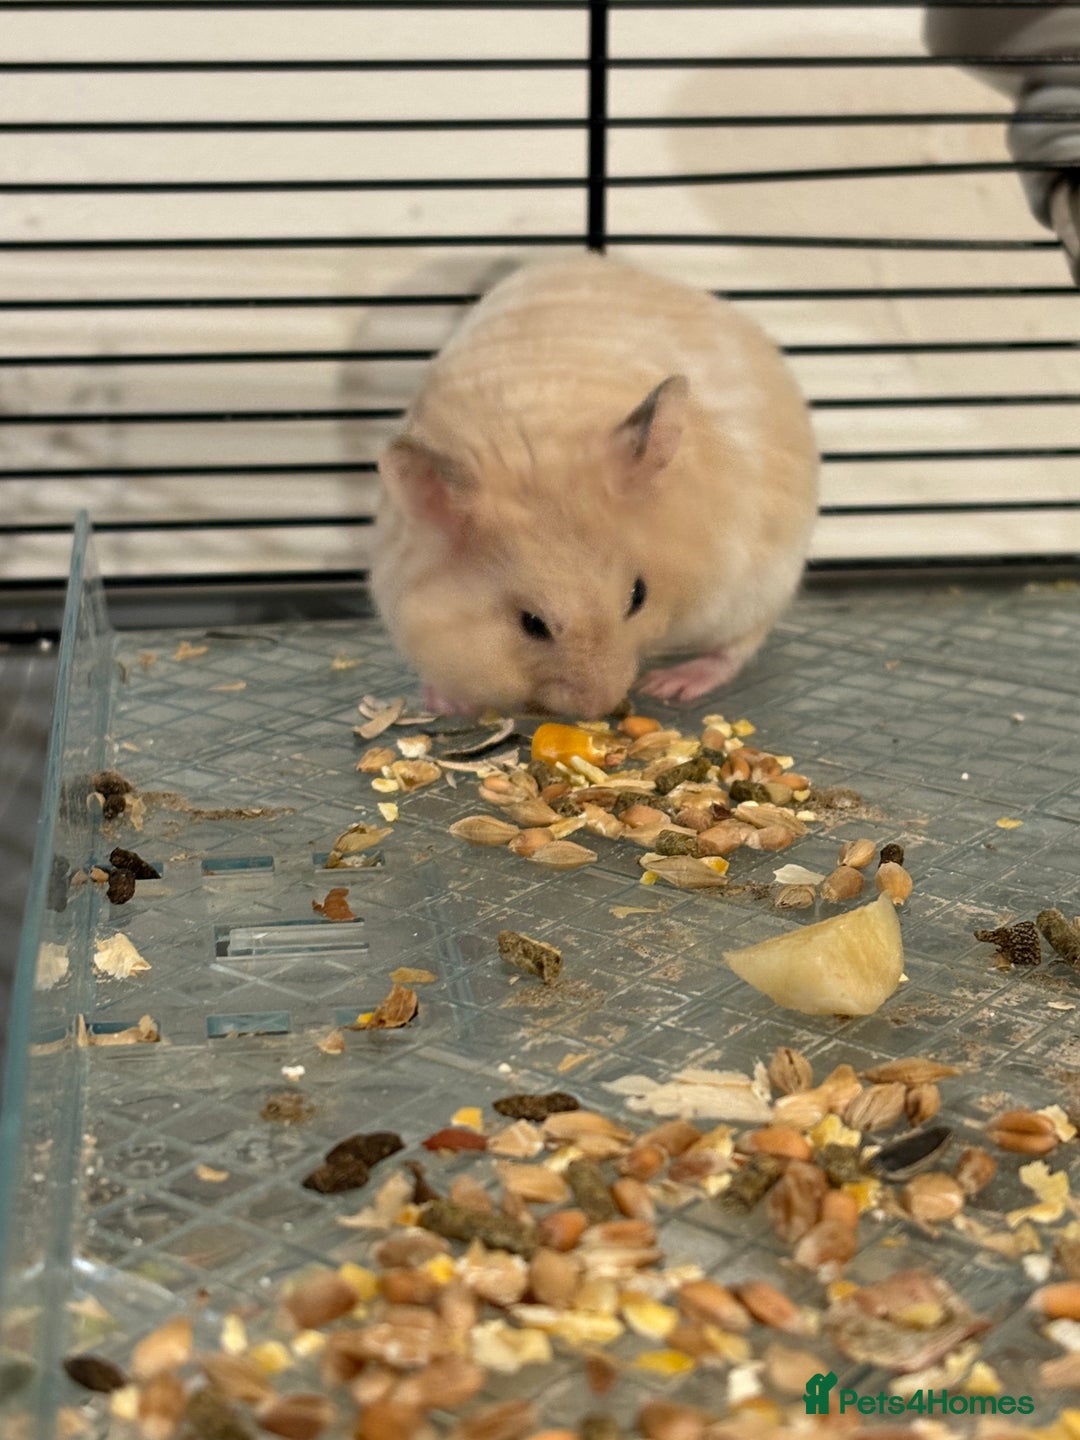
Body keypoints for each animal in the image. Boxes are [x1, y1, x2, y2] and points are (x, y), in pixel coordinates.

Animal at [370, 253, 818, 718]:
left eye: (639, 595)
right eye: (532, 624)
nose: (599, 707)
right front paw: (444, 702)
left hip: (765, 581)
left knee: (736, 647)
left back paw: (673, 682)